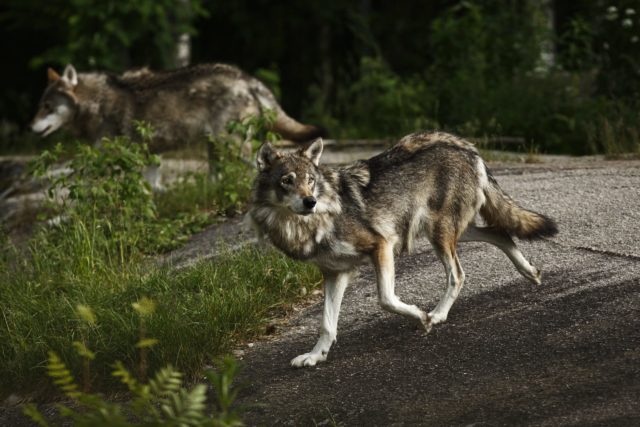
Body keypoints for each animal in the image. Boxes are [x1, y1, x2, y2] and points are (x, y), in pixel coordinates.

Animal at [30, 64, 324, 188]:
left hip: (230, 145)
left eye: (47, 106)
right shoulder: (151, 155)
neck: (97, 103)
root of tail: (247, 78)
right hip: (214, 147)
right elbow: (152, 190)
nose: (31, 129)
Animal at [248, 133, 556, 368]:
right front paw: (315, 356)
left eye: (310, 180)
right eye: (287, 180)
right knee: (499, 233)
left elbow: (386, 299)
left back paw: (438, 314)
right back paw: (529, 272)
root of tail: (465, 147)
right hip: (446, 232)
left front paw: (422, 319)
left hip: (440, 234)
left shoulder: (382, 245)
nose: (309, 201)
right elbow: (327, 323)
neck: (314, 222)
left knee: (458, 274)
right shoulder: (335, 273)